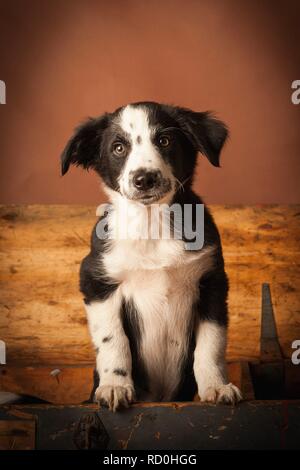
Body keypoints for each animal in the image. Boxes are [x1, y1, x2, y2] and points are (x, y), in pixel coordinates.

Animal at [60, 102, 241, 412]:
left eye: (164, 141)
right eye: (118, 147)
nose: (144, 179)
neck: (151, 224)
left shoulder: (212, 281)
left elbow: (211, 343)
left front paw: (216, 386)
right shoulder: (97, 282)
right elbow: (113, 340)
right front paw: (115, 386)